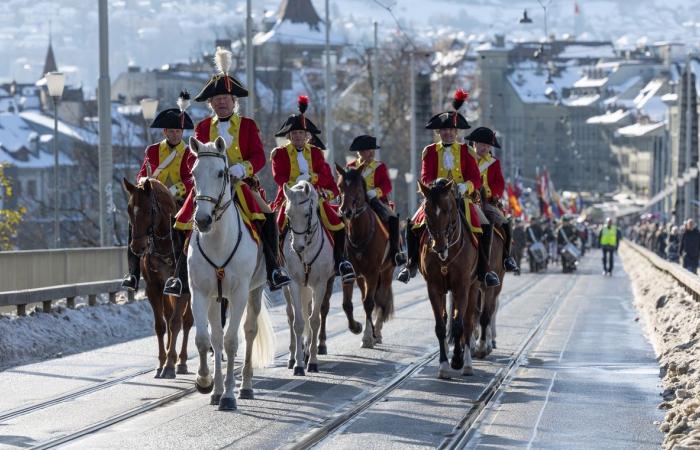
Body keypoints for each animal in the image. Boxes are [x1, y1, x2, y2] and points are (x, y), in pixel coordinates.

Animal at [122, 178, 193, 378]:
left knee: (188, 321)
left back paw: (182, 360)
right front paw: (162, 363)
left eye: (149, 210)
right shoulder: (154, 288)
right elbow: (161, 325)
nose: (137, 247)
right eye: (129, 210)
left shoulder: (183, 289)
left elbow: (176, 323)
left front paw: (169, 365)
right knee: (169, 318)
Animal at [187, 135, 274, 410]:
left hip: (255, 290)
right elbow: (205, 340)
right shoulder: (200, 293)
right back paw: (215, 390)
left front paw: (228, 396)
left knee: (249, 332)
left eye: (221, 173)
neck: (218, 241)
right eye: (193, 173)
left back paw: (245, 386)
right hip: (217, 299)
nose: (202, 220)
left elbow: (232, 341)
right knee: (215, 337)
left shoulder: (238, 294)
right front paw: (205, 382)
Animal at [280, 181, 334, 374]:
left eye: (306, 214)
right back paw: (292, 357)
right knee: (290, 316)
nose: (297, 247)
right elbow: (298, 322)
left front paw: (313, 361)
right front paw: (298, 364)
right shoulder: (295, 283)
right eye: (287, 214)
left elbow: (315, 320)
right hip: (287, 287)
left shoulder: (320, 284)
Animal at [334, 163, 392, 350]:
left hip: (387, 271)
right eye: (340, 186)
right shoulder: (349, 272)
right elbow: (347, 304)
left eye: (358, 188)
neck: (360, 232)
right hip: (362, 276)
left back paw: (377, 332)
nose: (346, 212)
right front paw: (356, 327)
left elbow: (369, 303)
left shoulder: (373, 273)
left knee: (381, 299)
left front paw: (367, 336)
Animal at [416, 178, 482, 376]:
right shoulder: (434, 287)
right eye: (426, 210)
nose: (438, 247)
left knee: (467, 322)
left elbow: (460, 324)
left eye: (447, 209)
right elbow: (440, 325)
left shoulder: (462, 287)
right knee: (447, 319)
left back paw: (467, 363)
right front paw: (443, 364)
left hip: (473, 286)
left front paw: (458, 360)